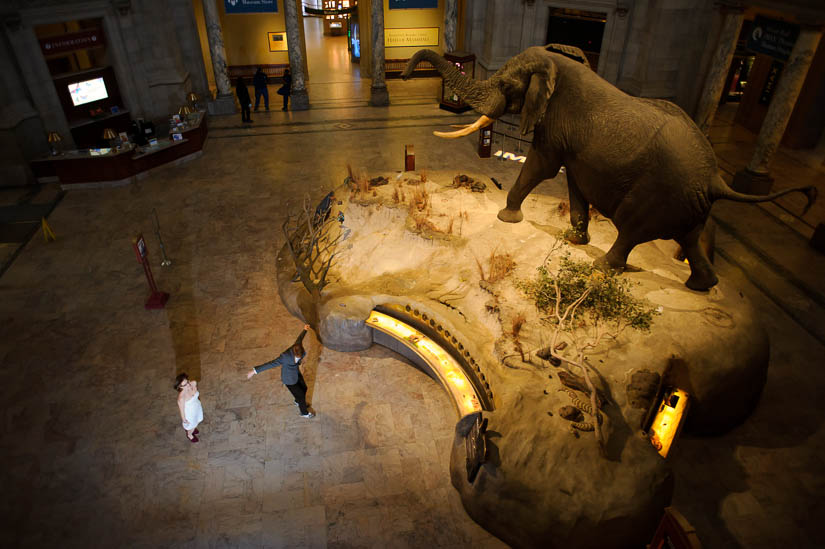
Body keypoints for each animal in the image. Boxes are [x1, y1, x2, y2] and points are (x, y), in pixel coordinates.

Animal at [402, 46, 816, 292]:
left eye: (505, 84)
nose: (404, 76)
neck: (557, 64)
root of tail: (717, 179)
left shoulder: (556, 123)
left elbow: (542, 166)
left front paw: (507, 217)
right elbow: (574, 184)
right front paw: (573, 240)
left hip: (659, 194)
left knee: (631, 228)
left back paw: (603, 266)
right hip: (688, 205)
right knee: (690, 240)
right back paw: (699, 287)